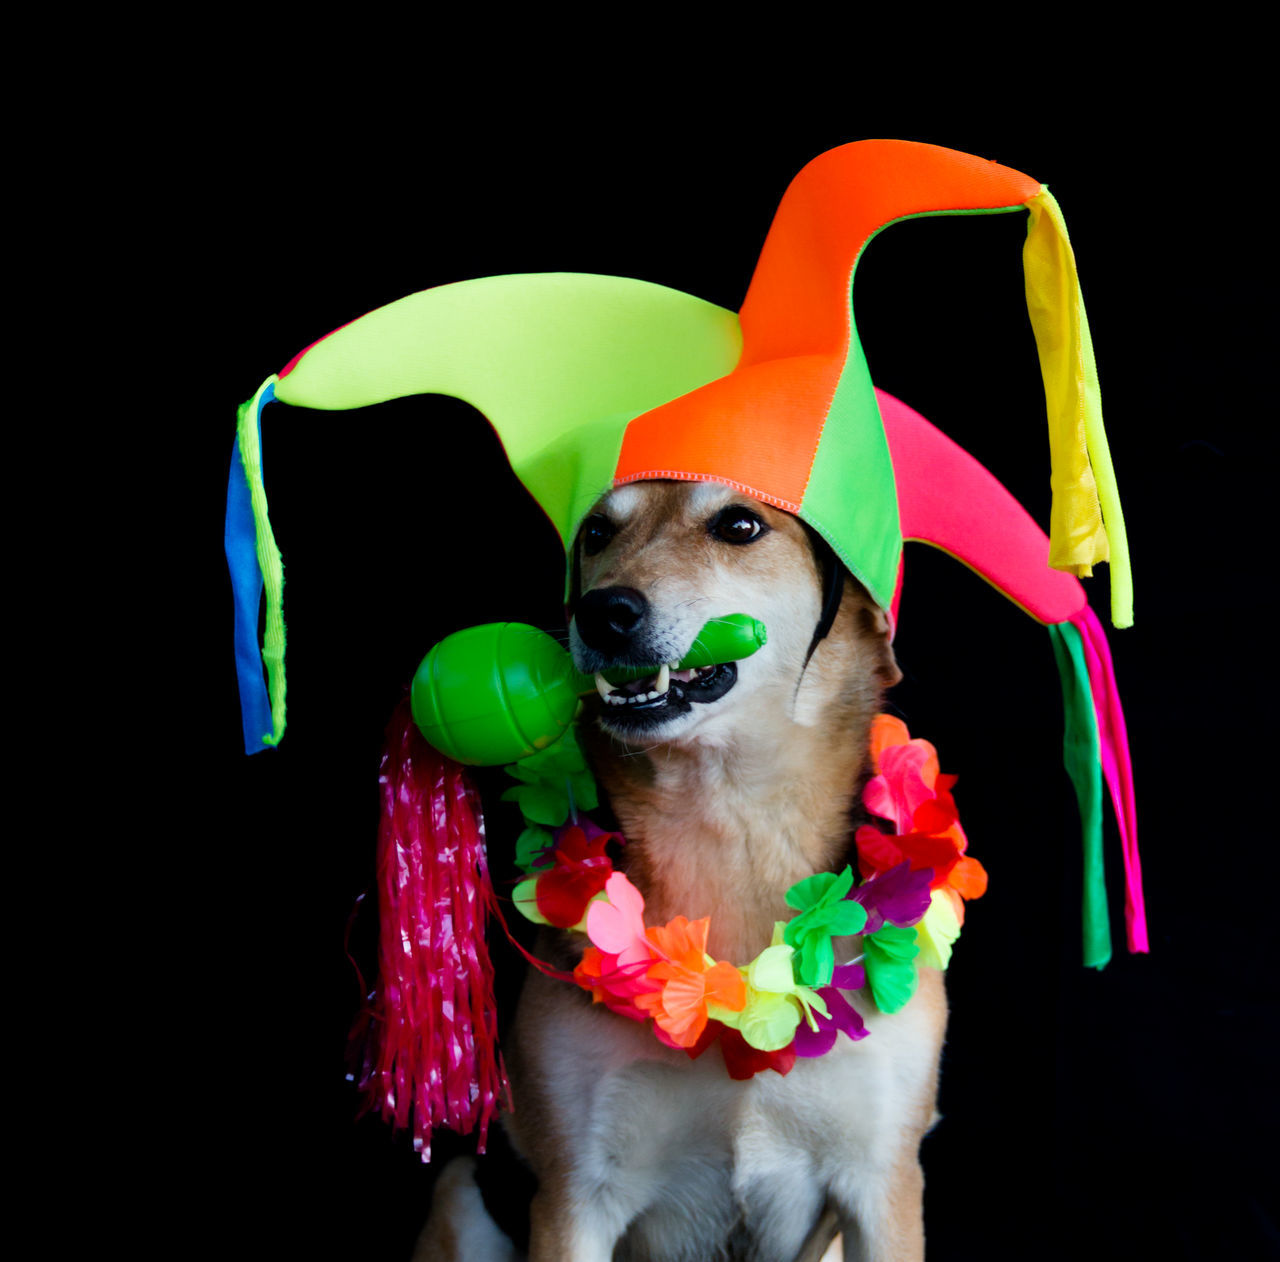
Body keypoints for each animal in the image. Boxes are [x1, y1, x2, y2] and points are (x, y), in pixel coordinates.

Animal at [414, 476, 947, 1254]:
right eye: (597, 534)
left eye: (739, 525)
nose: (601, 613)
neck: (728, 818)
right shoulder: (575, 1196)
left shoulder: (883, 1186)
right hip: (458, 1194)